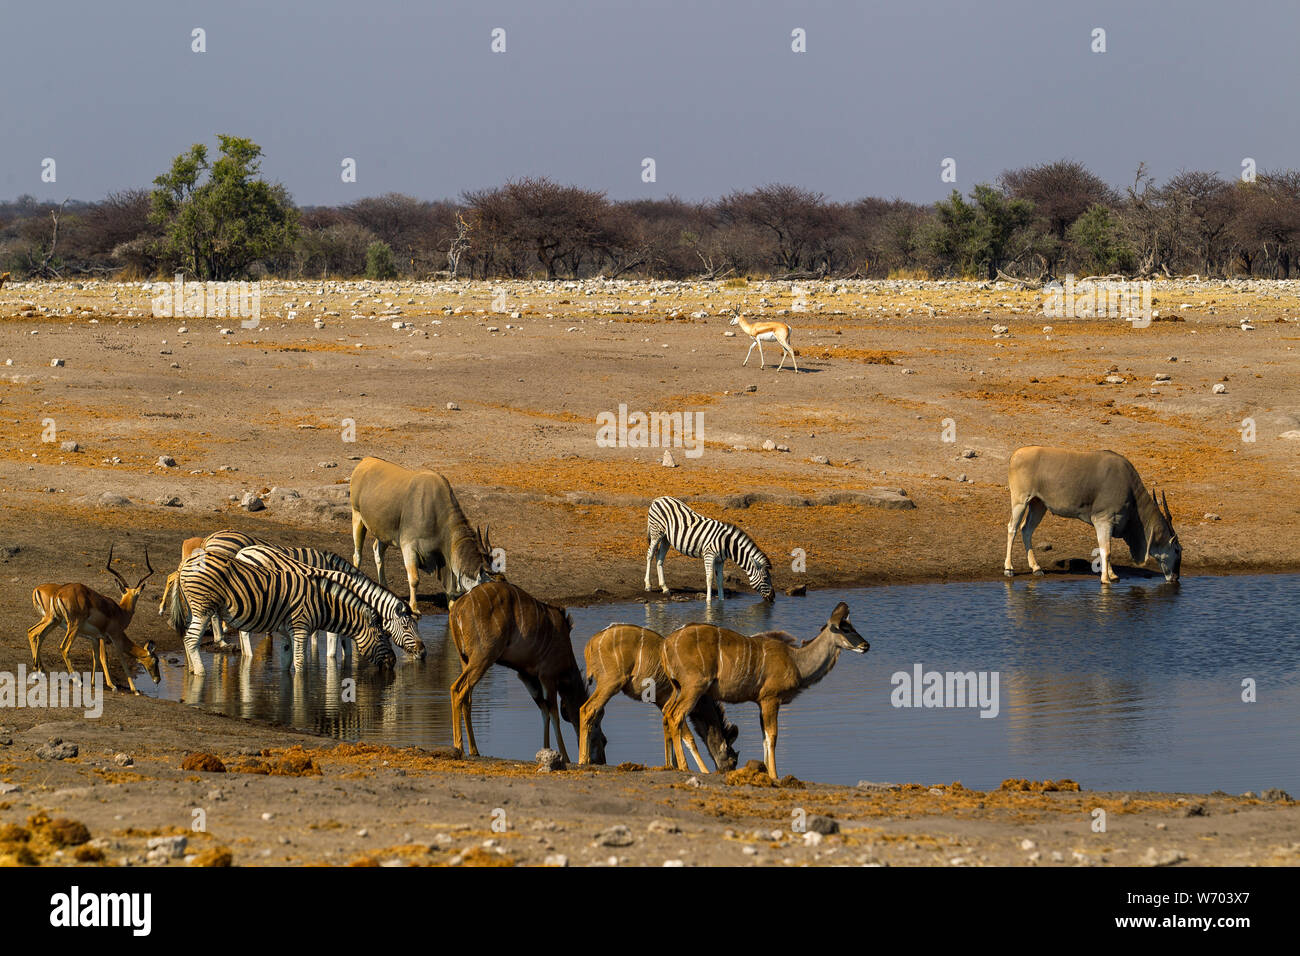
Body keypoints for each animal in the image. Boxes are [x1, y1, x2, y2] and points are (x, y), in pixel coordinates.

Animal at [175, 546, 395, 681]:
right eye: (382, 637)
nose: (393, 662)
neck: (323, 603)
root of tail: (186, 563)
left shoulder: (286, 632)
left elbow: (287, 659)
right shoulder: (300, 627)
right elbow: (300, 662)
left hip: (195, 607)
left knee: (187, 638)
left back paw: (193, 669)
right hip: (203, 607)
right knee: (192, 639)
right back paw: (201, 672)